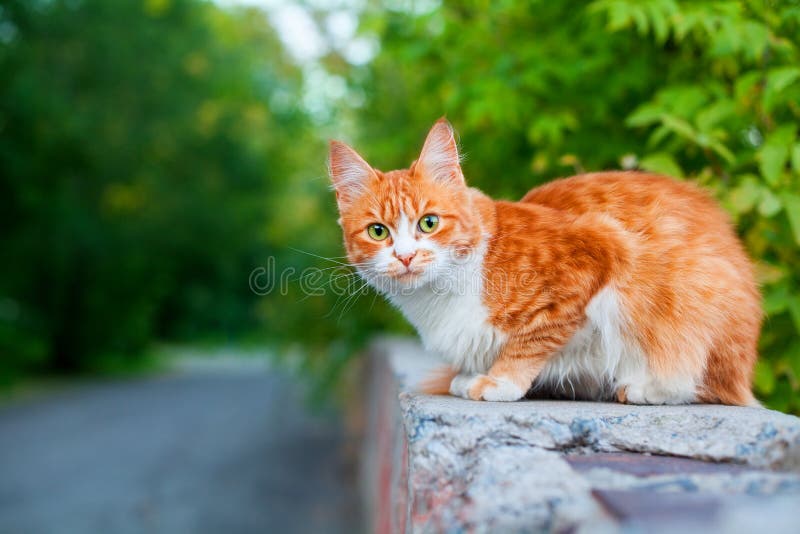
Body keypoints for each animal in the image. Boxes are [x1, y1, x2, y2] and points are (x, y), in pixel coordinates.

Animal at [330, 119, 764, 408]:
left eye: (429, 223)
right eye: (378, 232)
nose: (405, 256)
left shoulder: (596, 254)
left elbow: (532, 340)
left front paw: (501, 381)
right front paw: (473, 376)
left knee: (695, 378)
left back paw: (646, 388)